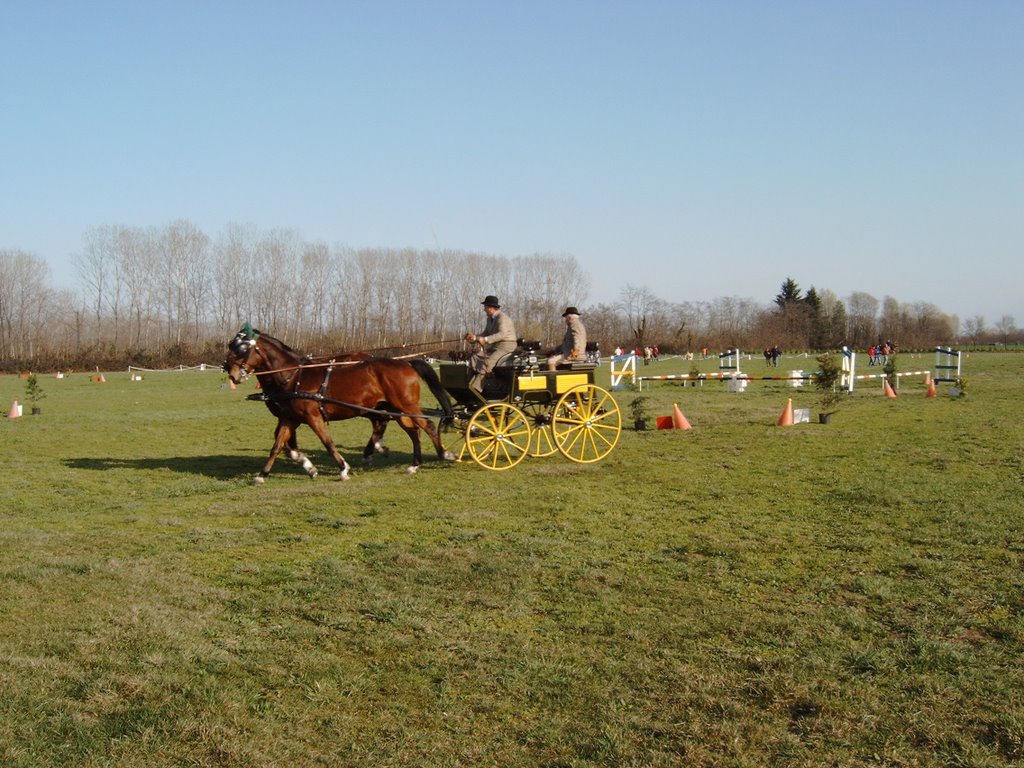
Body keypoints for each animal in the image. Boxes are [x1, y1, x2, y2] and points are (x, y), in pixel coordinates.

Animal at [226, 327, 454, 483]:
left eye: (242, 349)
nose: (232, 374)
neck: (294, 376)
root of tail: (406, 362)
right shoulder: (289, 418)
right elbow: (278, 445)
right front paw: (262, 474)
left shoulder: (312, 417)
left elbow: (327, 442)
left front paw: (343, 469)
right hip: (395, 408)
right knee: (412, 430)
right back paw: (413, 464)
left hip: (405, 405)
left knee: (427, 426)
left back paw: (444, 454)